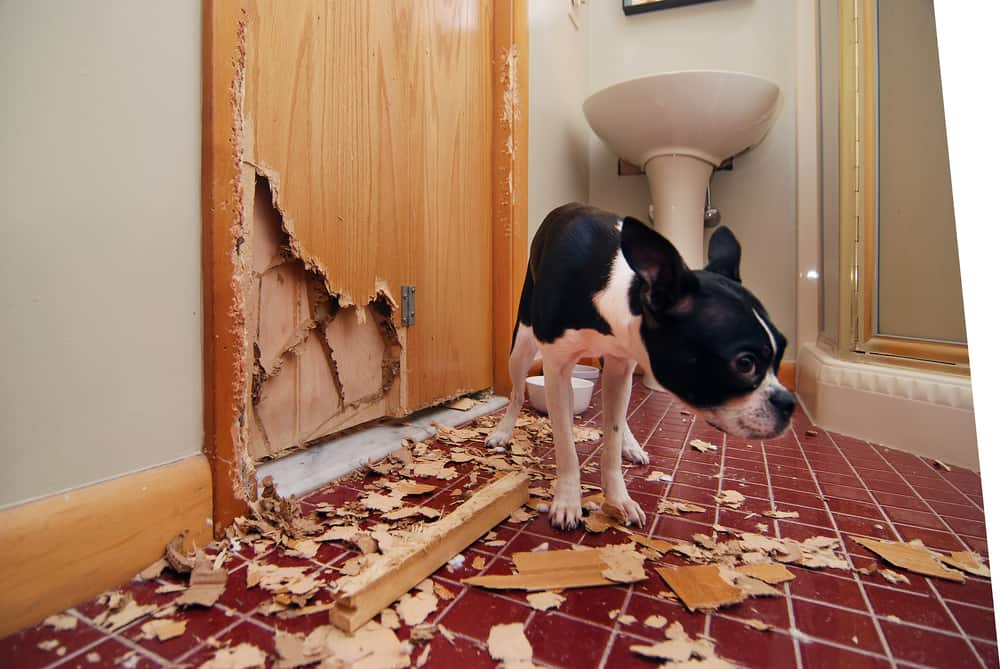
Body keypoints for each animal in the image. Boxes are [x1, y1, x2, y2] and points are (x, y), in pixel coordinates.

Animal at [486, 202, 796, 528]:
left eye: (781, 352)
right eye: (745, 363)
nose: (789, 403)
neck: (610, 289)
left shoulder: (620, 367)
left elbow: (611, 436)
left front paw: (618, 498)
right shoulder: (555, 366)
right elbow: (566, 445)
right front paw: (568, 501)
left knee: (617, 414)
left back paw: (630, 445)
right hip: (521, 347)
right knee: (517, 393)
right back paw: (504, 432)